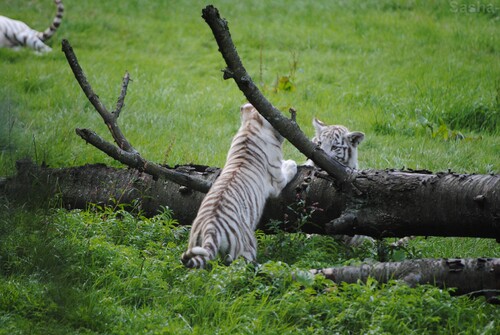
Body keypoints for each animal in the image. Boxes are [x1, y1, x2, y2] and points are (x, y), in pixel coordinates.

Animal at [181, 103, 294, 270]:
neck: (251, 127)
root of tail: (211, 229)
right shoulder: (277, 180)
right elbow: (288, 169)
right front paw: (291, 163)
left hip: (196, 245)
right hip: (245, 249)